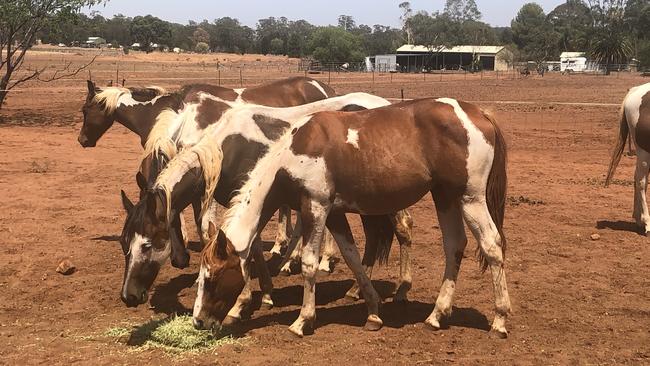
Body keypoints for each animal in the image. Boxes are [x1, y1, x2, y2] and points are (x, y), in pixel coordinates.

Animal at [195, 96, 508, 338]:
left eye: (213, 277)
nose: (198, 321)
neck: (293, 153)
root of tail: (480, 114)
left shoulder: (315, 207)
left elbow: (309, 263)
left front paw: (302, 320)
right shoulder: (335, 215)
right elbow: (353, 258)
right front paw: (373, 312)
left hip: (470, 198)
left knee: (492, 246)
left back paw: (500, 320)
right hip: (445, 197)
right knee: (454, 245)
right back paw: (437, 315)